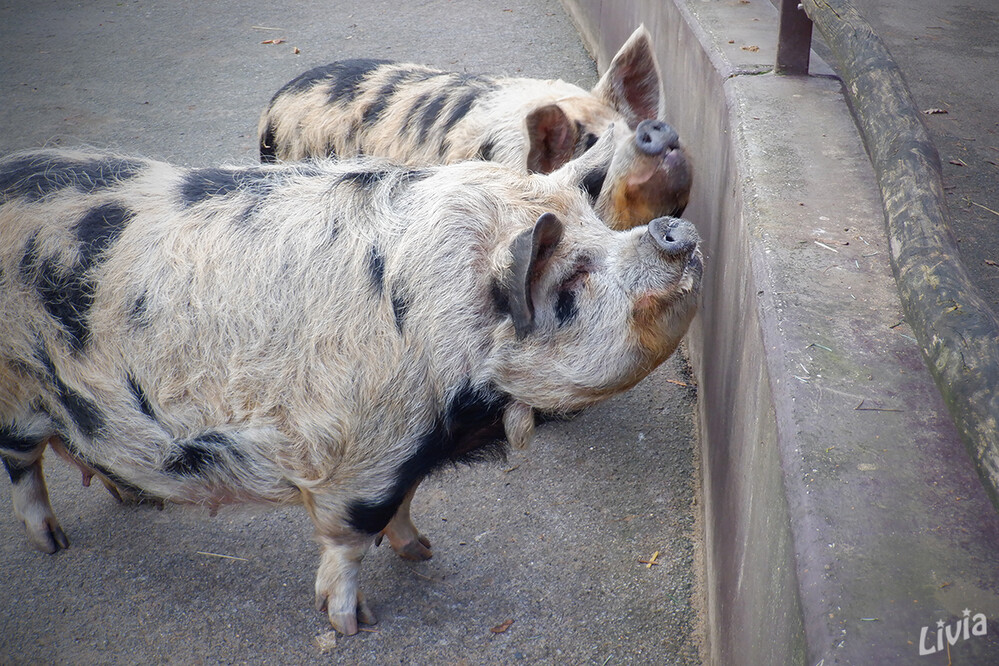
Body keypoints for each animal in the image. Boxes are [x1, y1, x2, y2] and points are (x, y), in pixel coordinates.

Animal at [0, 130, 704, 632]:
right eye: (574, 278)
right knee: (24, 464)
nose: (674, 228)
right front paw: (354, 625)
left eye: (602, 231)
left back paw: (132, 500)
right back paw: (54, 545)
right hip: (17, 395)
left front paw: (424, 552)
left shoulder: (407, 451)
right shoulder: (363, 460)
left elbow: (406, 505)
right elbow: (351, 539)